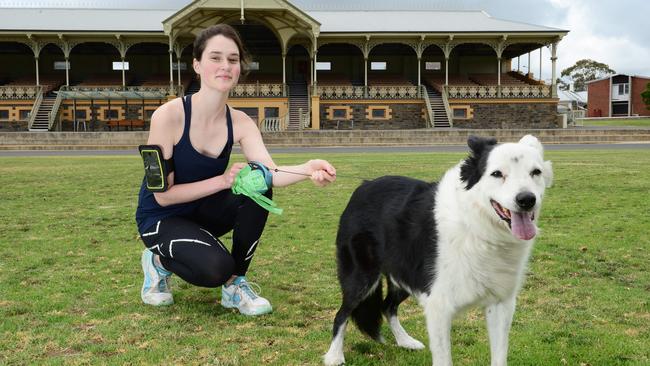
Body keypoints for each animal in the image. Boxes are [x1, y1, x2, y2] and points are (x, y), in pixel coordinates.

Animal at [324, 135, 552, 366]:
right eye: (497, 174)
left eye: (536, 172)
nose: (527, 200)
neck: (477, 226)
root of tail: (363, 186)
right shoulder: (439, 306)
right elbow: (444, 358)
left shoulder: (501, 304)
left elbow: (499, 356)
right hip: (362, 278)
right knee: (342, 314)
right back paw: (334, 356)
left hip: (406, 275)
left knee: (387, 306)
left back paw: (405, 341)